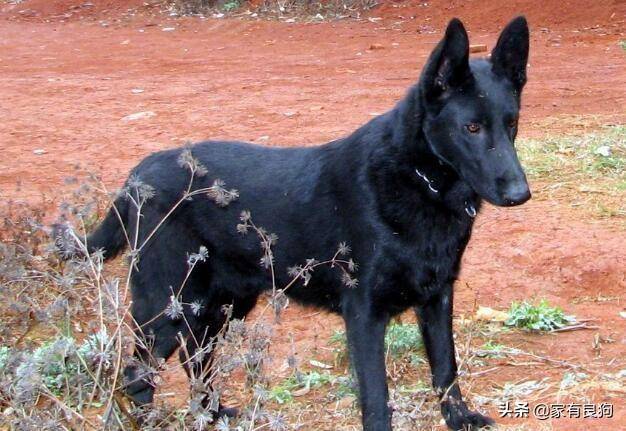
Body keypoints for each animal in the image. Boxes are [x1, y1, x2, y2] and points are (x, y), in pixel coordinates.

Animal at [80, 16, 528, 428]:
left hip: (225, 304)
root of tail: (137, 175)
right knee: (137, 374)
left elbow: (446, 369)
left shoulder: (437, 299)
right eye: (472, 127)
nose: (520, 193)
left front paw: (459, 418)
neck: (419, 181)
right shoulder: (364, 314)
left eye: (511, 124)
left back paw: (211, 413)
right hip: (167, 306)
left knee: (195, 357)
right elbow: (376, 396)